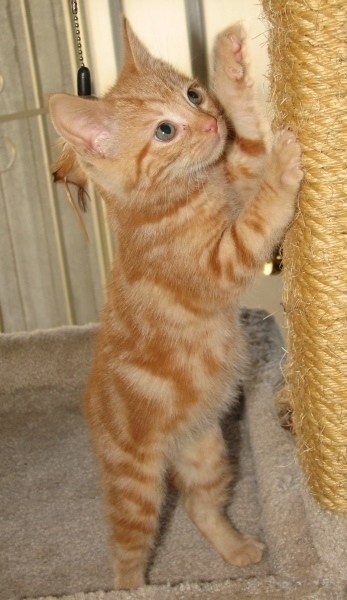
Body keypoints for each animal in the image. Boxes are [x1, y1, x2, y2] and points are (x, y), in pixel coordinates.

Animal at [48, 19, 302, 592]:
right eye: (164, 131)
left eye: (193, 94)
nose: (208, 123)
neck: (178, 196)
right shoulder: (217, 263)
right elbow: (258, 220)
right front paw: (284, 170)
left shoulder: (235, 173)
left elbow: (247, 144)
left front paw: (231, 66)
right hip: (135, 484)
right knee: (126, 548)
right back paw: (133, 589)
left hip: (208, 451)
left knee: (197, 504)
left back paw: (234, 548)